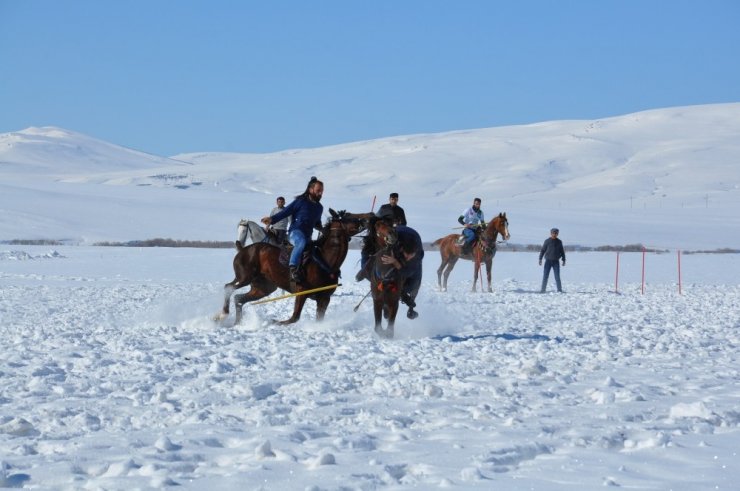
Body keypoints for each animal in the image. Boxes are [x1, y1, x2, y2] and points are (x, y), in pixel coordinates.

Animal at [218, 209, 370, 324]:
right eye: (348, 217)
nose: (367, 220)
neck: (325, 261)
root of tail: (242, 250)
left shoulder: (324, 298)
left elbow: (317, 319)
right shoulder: (301, 292)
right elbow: (293, 318)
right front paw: (276, 322)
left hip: (263, 288)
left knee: (238, 299)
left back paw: (236, 323)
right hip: (244, 277)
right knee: (228, 287)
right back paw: (223, 314)